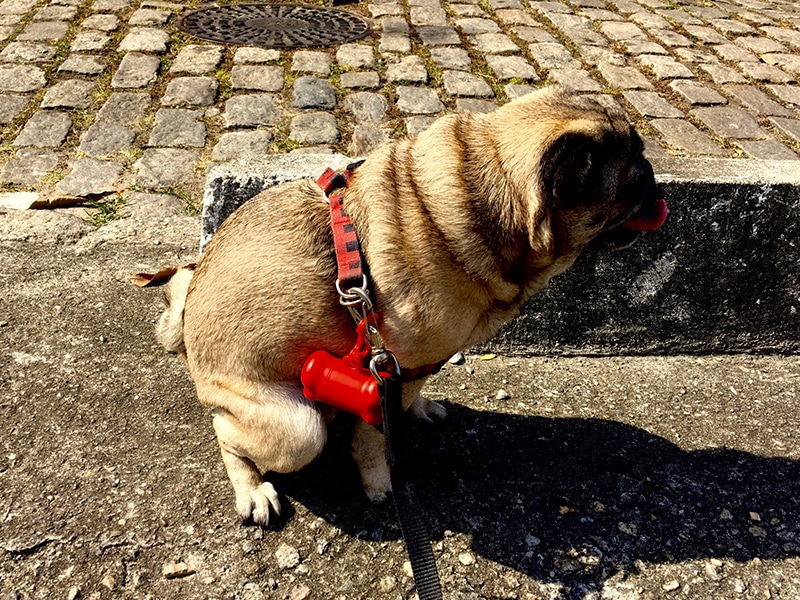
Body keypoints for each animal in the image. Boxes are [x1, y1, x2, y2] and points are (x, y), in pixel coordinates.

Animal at [156, 84, 668, 524]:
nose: (652, 177)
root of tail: (189, 337)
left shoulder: (408, 369)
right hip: (293, 429)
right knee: (230, 434)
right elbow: (372, 440)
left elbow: (410, 396)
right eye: (631, 177)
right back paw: (253, 488)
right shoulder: (384, 374)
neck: (481, 196)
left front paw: (419, 410)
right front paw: (380, 482)